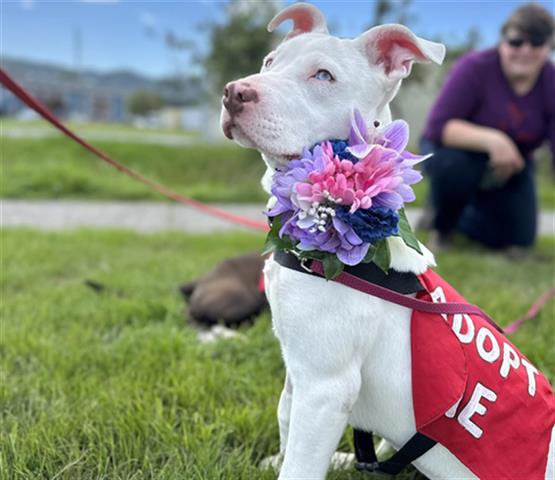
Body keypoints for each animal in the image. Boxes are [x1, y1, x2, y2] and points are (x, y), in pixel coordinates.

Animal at [219, 2, 552, 476]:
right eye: (268, 62)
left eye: (323, 75)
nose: (234, 93)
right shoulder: (300, 368)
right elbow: (285, 415)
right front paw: (276, 460)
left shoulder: (325, 386)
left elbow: (300, 462)